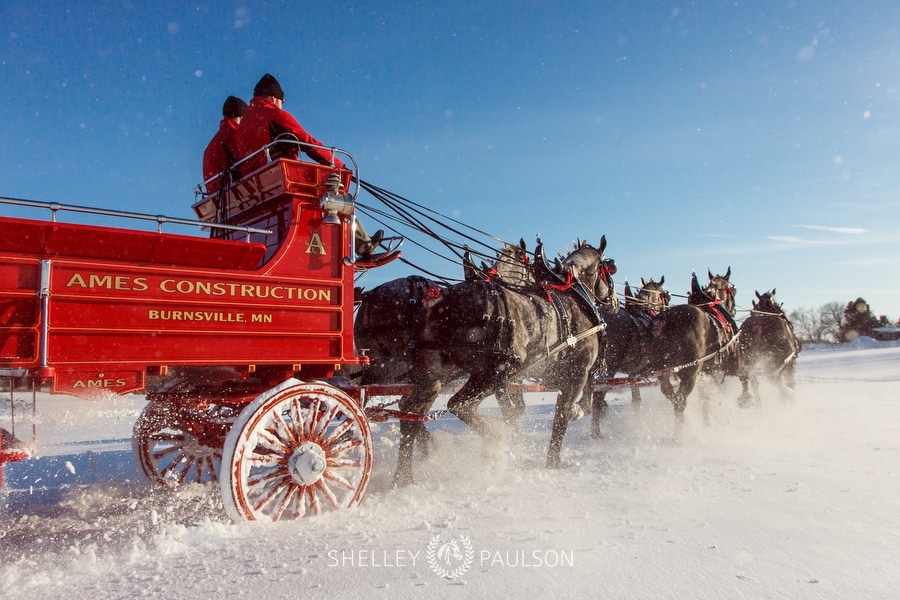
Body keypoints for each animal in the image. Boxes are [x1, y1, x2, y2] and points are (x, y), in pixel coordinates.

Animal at [390, 239, 608, 482]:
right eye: (608, 269)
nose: (613, 300)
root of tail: (440, 302)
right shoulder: (578, 372)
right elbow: (564, 414)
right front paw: (554, 459)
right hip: (491, 373)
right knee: (458, 405)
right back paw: (493, 440)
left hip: (437, 375)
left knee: (411, 410)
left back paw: (404, 477)